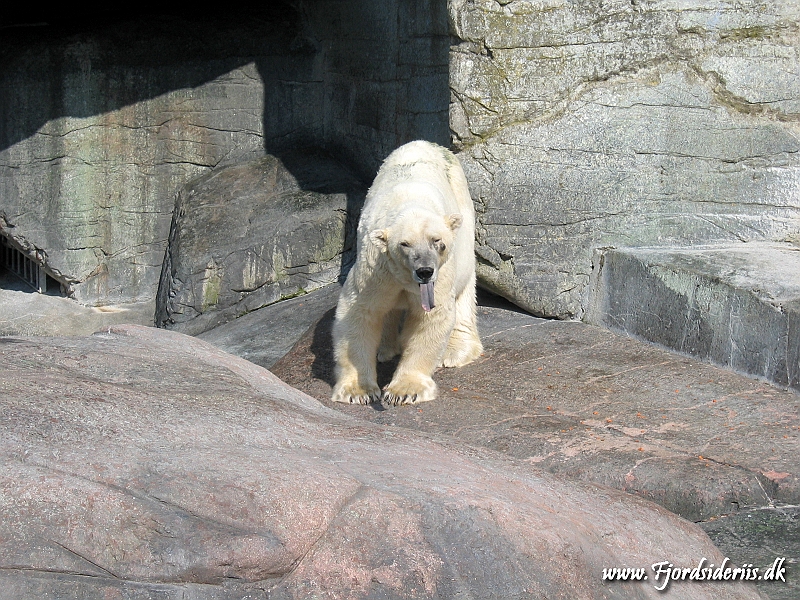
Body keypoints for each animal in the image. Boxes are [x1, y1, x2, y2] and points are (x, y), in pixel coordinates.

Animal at [332, 141, 482, 406]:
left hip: (462, 213)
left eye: (437, 241)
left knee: (464, 284)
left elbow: (431, 316)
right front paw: (358, 391)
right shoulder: (377, 268)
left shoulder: (440, 274)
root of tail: (424, 142)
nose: (424, 271)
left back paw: (456, 352)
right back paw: (385, 349)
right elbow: (361, 311)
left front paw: (404, 390)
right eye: (405, 244)